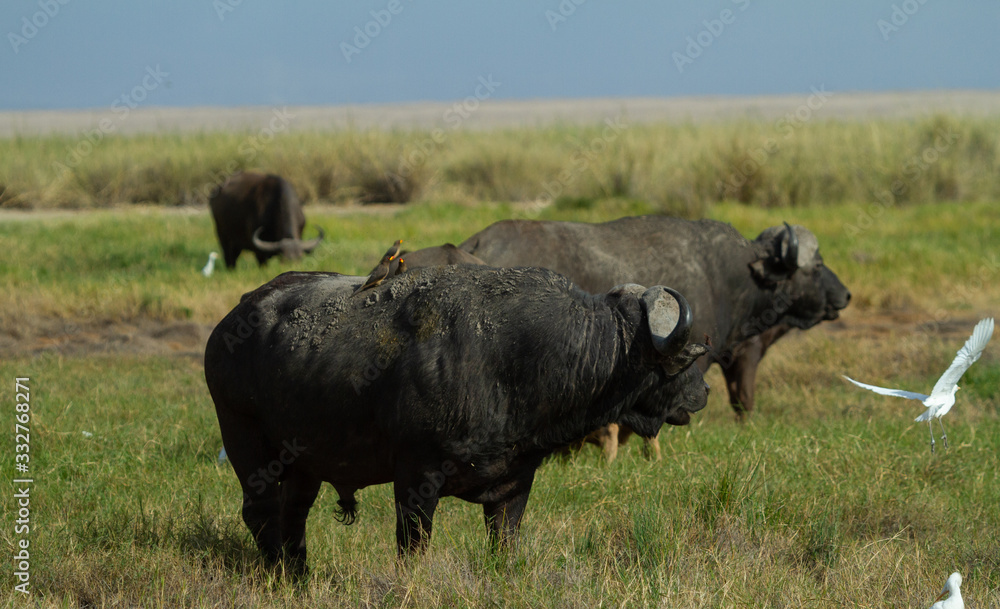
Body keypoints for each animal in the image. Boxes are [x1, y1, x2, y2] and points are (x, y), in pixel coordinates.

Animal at [203, 264, 708, 568]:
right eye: (684, 360)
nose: (702, 392)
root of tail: (231, 322)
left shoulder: (514, 484)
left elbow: (504, 545)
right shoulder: (415, 478)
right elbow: (413, 548)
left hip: (305, 464)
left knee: (294, 513)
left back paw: (300, 576)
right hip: (246, 445)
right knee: (260, 512)